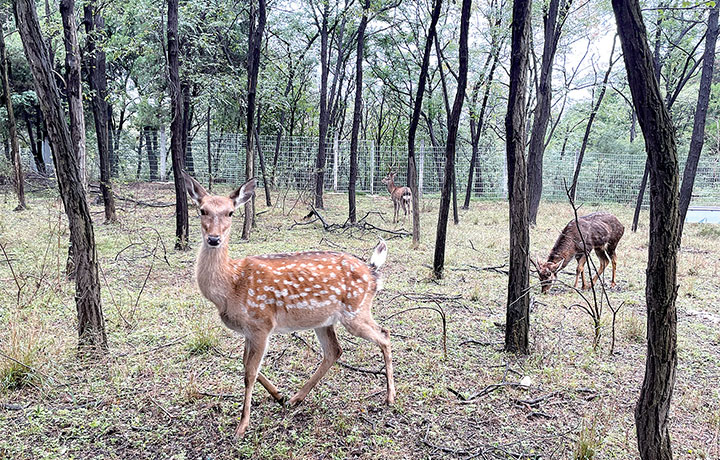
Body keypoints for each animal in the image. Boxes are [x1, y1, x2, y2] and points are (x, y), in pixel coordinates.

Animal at [180, 171, 394, 436]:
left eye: (230, 212)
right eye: (202, 210)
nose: (213, 239)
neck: (231, 285)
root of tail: (373, 272)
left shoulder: (262, 323)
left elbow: (249, 372)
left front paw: (242, 426)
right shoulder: (249, 331)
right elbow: (245, 364)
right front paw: (278, 395)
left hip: (356, 311)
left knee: (384, 334)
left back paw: (390, 397)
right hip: (324, 320)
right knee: (335, 350)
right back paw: (295, 398)